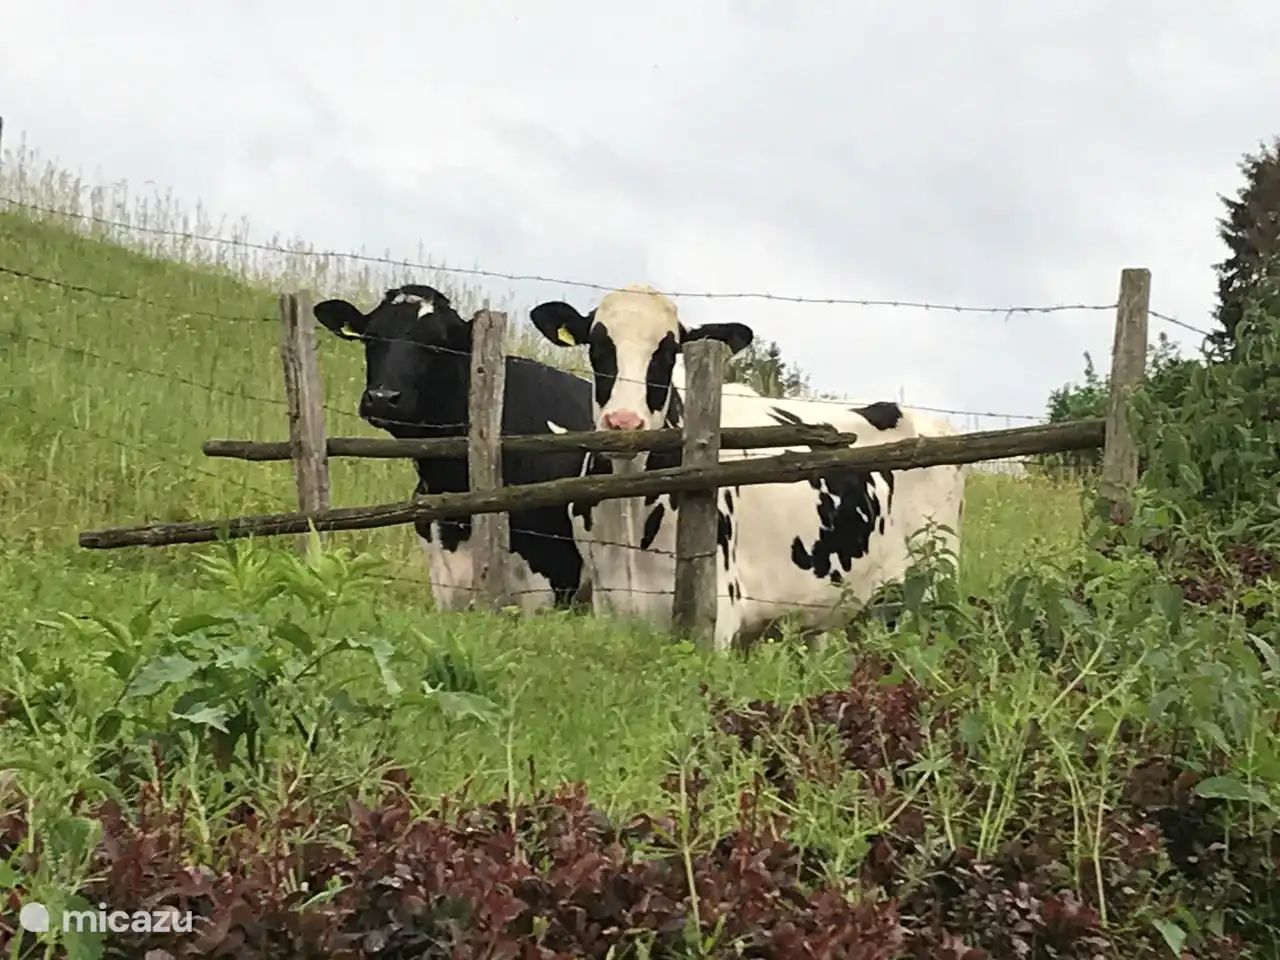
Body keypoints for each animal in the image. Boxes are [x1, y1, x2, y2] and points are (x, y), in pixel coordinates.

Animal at [528, 283, 967, 650]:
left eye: (668, 353)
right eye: (597, 347)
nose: (623, 422)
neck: (627, 512)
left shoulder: (717, 618)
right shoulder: (611, 606)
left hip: (930, 585)